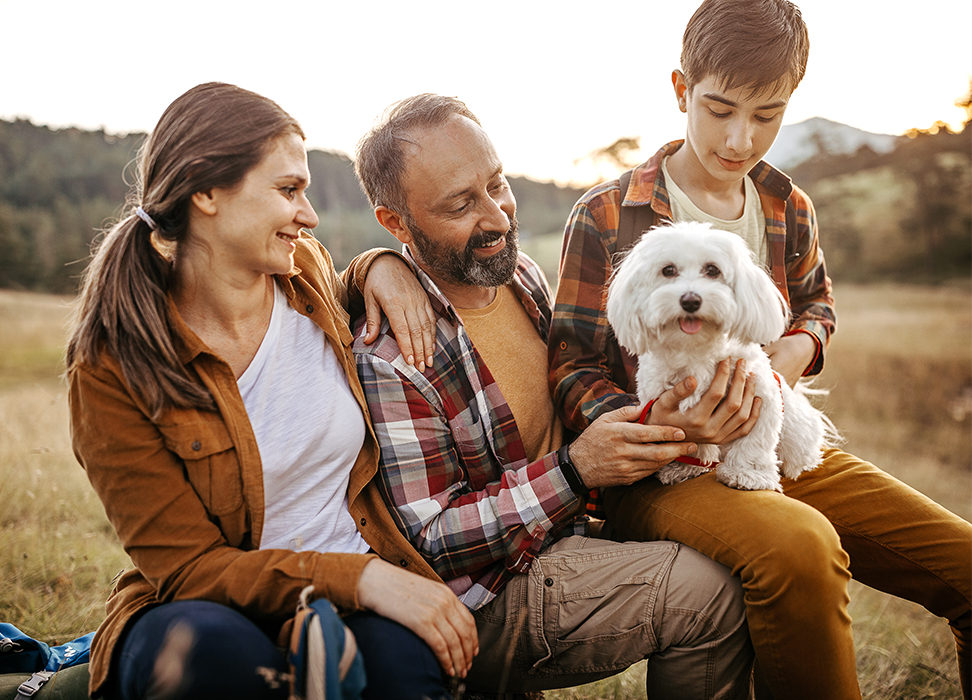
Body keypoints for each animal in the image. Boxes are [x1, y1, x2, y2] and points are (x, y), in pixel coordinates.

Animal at [608, 221, 836, 490]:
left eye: (712, 270)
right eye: (668, 270)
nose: (691, 300)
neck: (696, 346)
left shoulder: (759, 399)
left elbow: (754, 442)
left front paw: (747, 474)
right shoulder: (666, 404)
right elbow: (690, 441)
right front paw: (686, 466)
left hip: (796, 428)